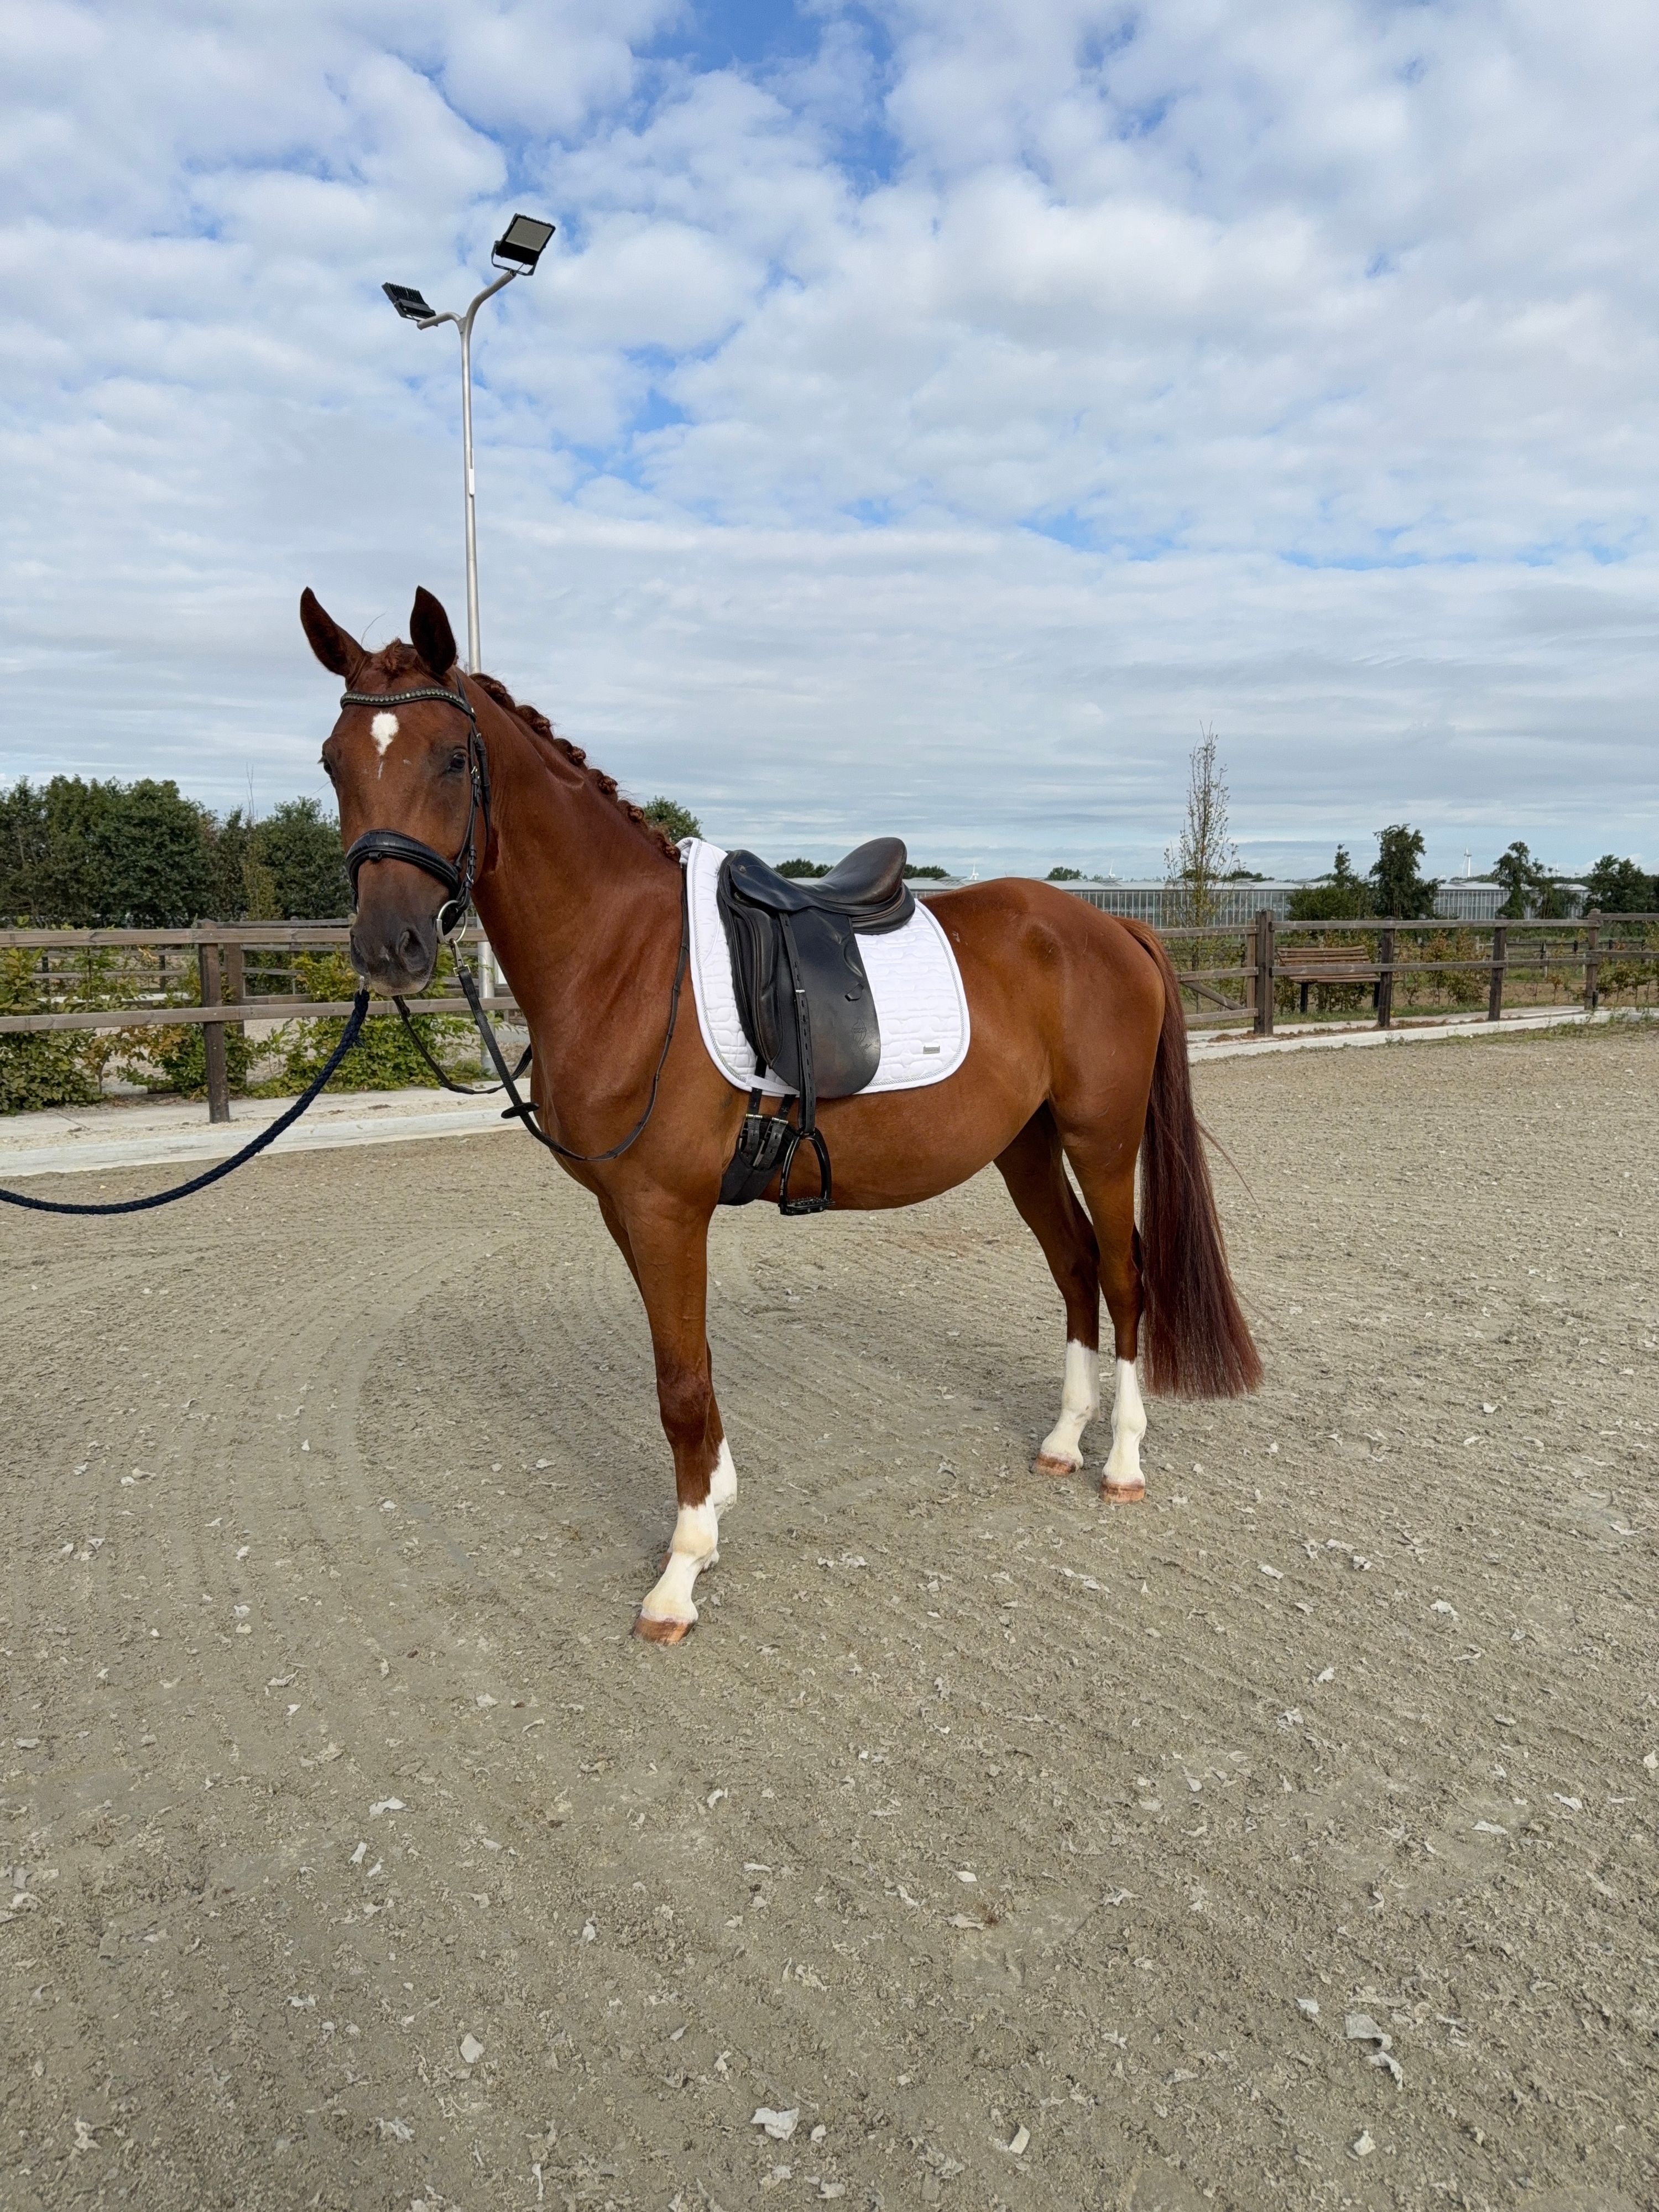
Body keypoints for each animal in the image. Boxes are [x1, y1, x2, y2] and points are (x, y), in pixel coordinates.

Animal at [302, 585, 1261, 1643]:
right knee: (1078, 1268)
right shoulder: (629, 1212)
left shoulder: (664, 1209)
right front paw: (716, 1506)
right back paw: (1062, 1440)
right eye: (334, 762)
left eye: (452, 758)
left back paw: (1123, 1460)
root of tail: (1112, 924)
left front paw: (680, 1571)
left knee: (1127, 1279)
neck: (625, 957)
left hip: (1101, 1138)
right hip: (1024, 1147)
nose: (387, 947)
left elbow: (679, 1384)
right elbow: (697, 1363)